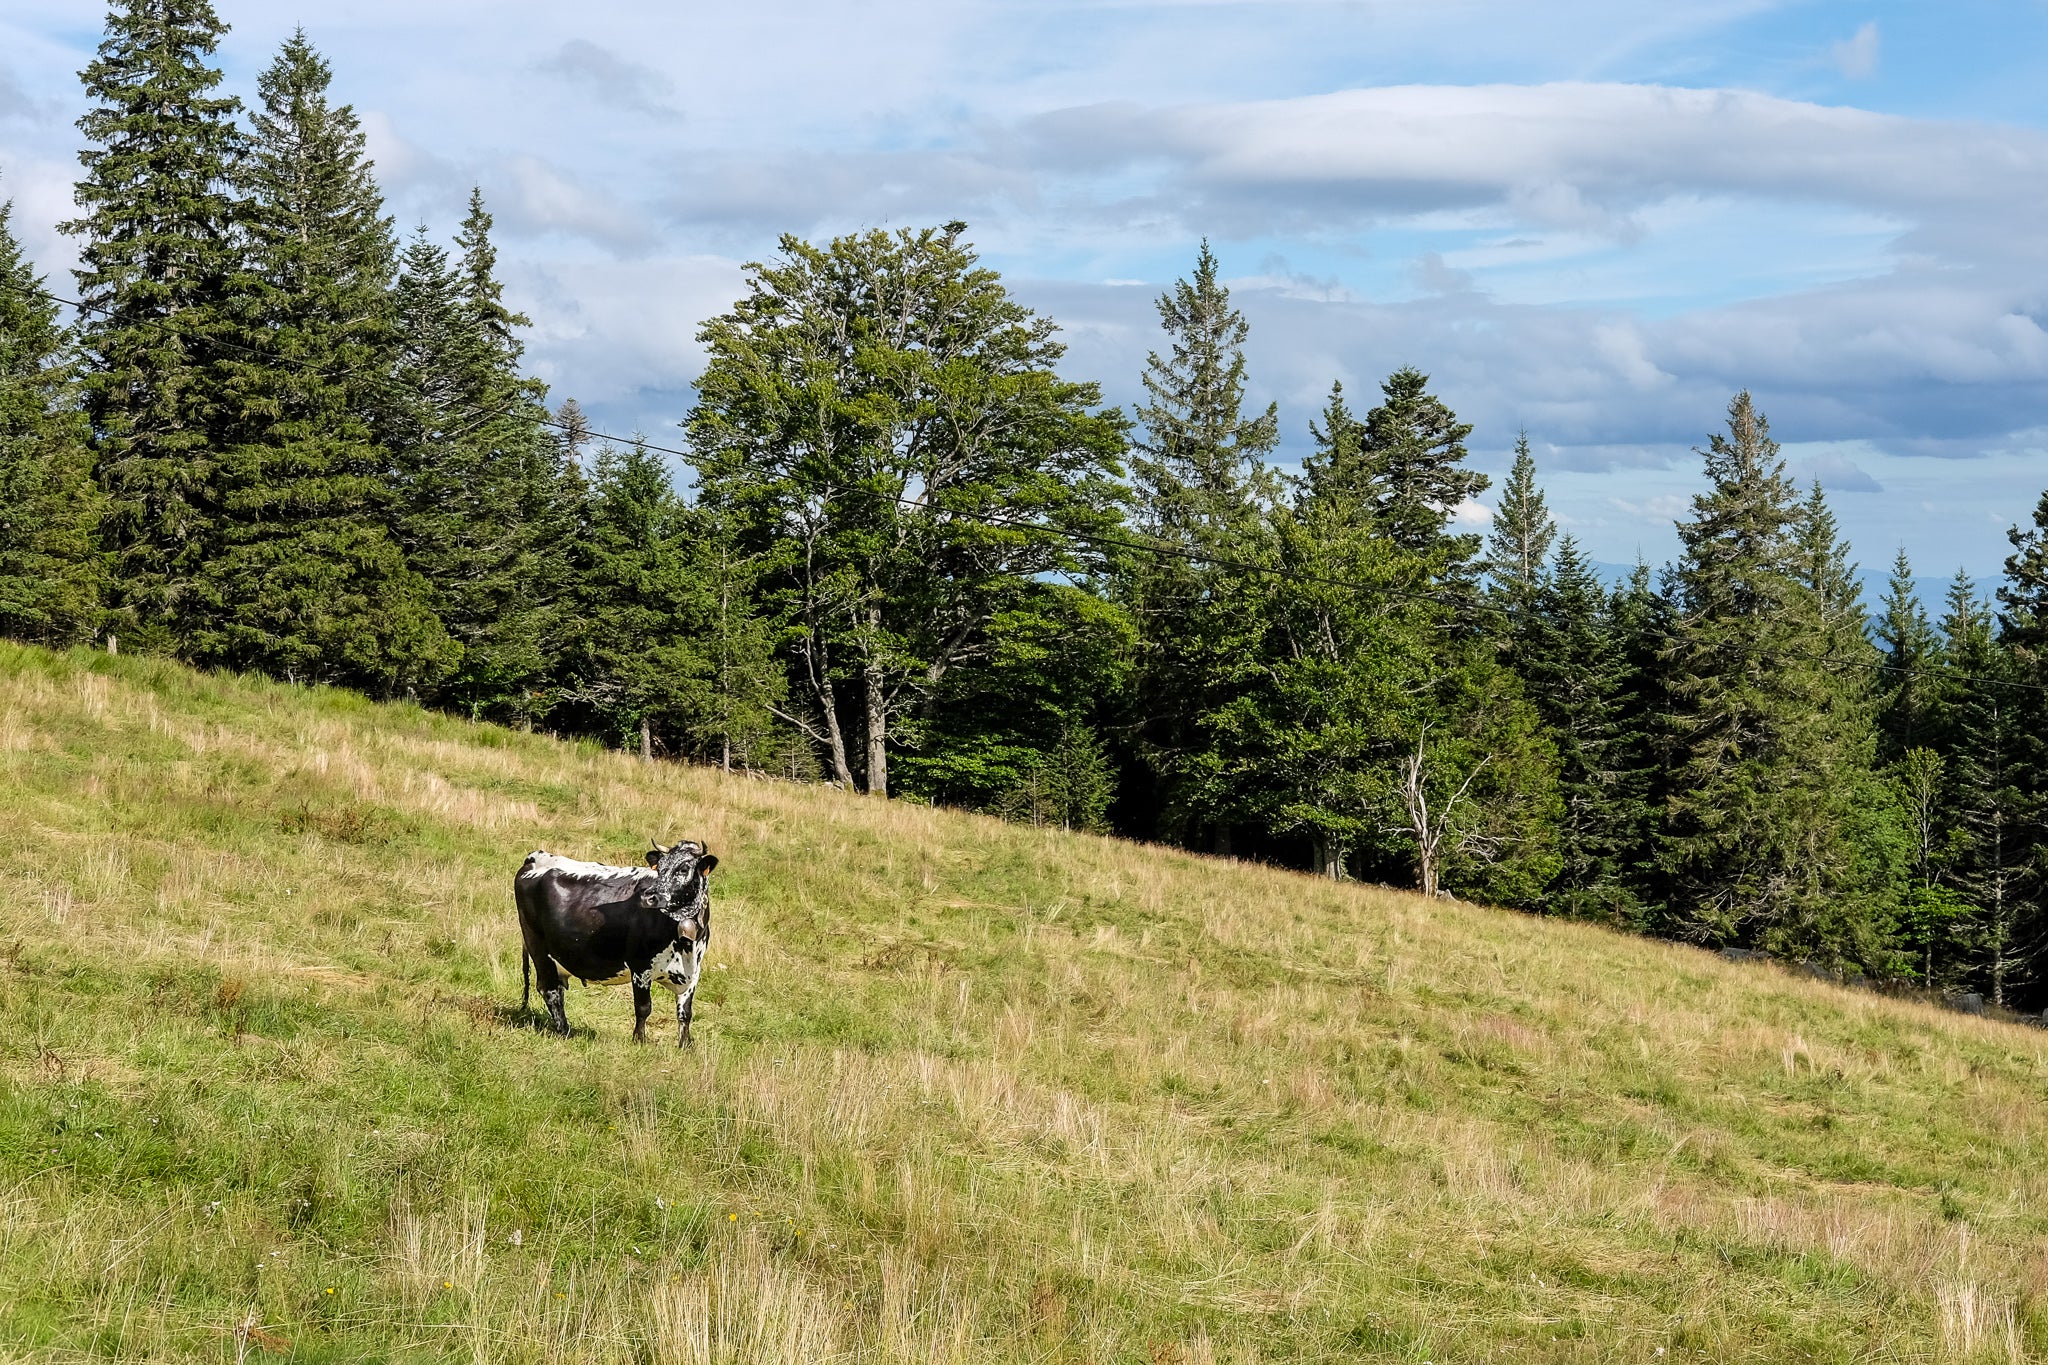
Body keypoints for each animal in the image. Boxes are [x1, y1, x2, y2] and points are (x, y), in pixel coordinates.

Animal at [516, 834, 716, 1047]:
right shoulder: (640, 967)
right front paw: (639, 1041)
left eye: (684, 868)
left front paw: (685, 1045)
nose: (649, 897)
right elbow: (643, 1007)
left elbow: (685, 1013)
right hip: (538, 947)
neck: (686, 945)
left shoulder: (693, 972)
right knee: (550, 991)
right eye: (660, 868)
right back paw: (565, 1032)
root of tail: (536, 857)